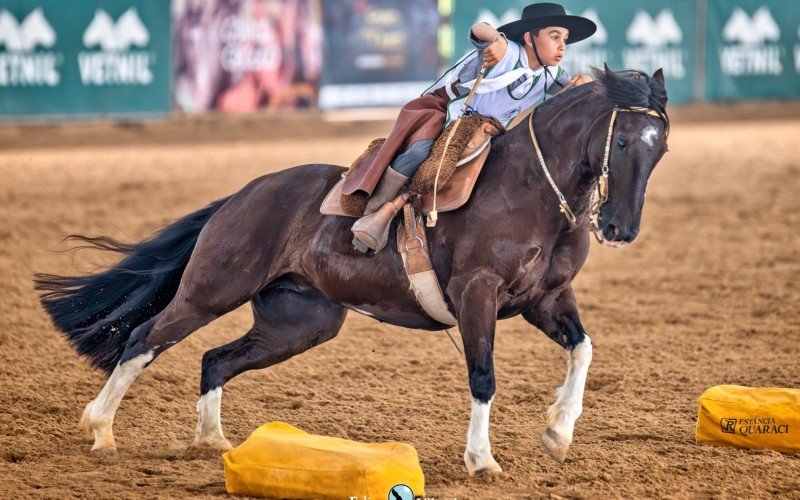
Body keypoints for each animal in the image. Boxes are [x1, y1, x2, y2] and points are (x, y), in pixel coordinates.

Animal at [34, 65, 668, 472]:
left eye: (660, 148)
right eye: (625, 142)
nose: (619, 227)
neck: (528, 189)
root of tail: (242, 195)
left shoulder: (547, 298)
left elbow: (583, 349)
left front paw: (558, 432)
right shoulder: (477, 295)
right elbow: (484, 376)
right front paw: (481, 459)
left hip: (299, 322)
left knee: (215, 359)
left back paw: (213, 441)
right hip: (211, 291)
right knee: (145, 337)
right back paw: (101, 430)